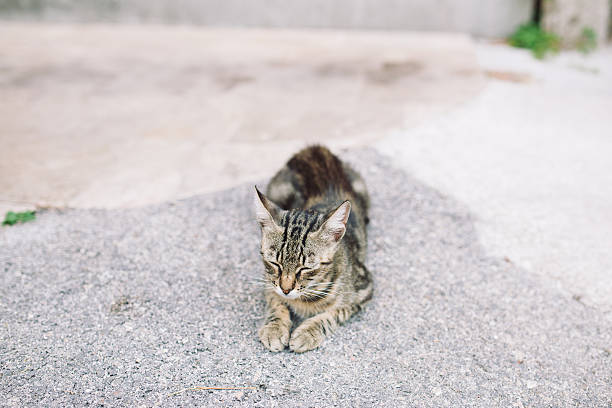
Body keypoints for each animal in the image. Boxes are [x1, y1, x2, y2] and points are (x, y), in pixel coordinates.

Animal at [255, 145, 372, 352]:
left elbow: (335, 313)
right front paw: (274, 328)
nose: (286, 289)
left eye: (306, 268)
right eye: (275, 263)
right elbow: (275, 303)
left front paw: (308, 332)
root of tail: (316, 149)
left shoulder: (364, 287)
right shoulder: (269, 281)